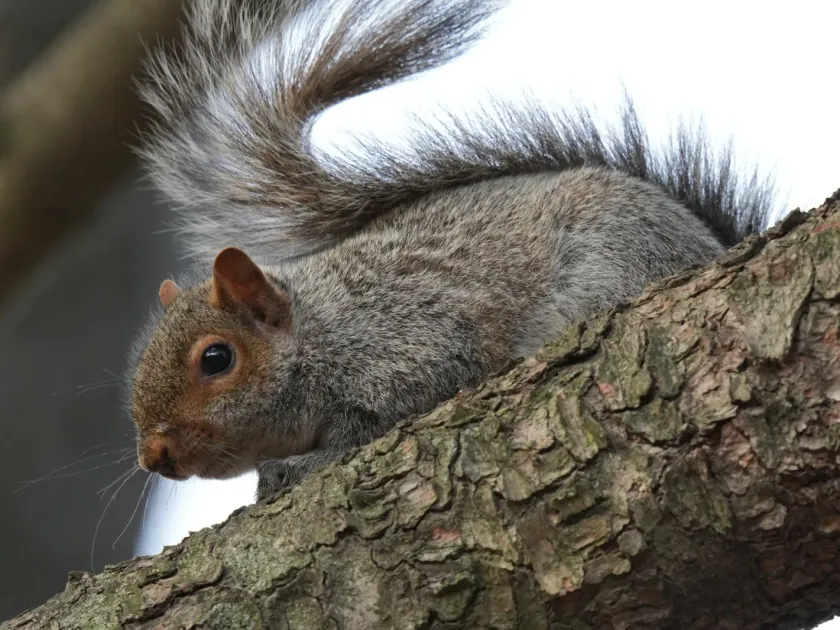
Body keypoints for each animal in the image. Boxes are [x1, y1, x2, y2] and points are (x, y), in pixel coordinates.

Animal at [128, 0, 775, 500]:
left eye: (217, 359)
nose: (153, 456)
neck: (319, 329)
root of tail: (708, 242)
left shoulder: (413, 342)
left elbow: (376, 424)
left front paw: (298, 465)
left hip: (616, 264)